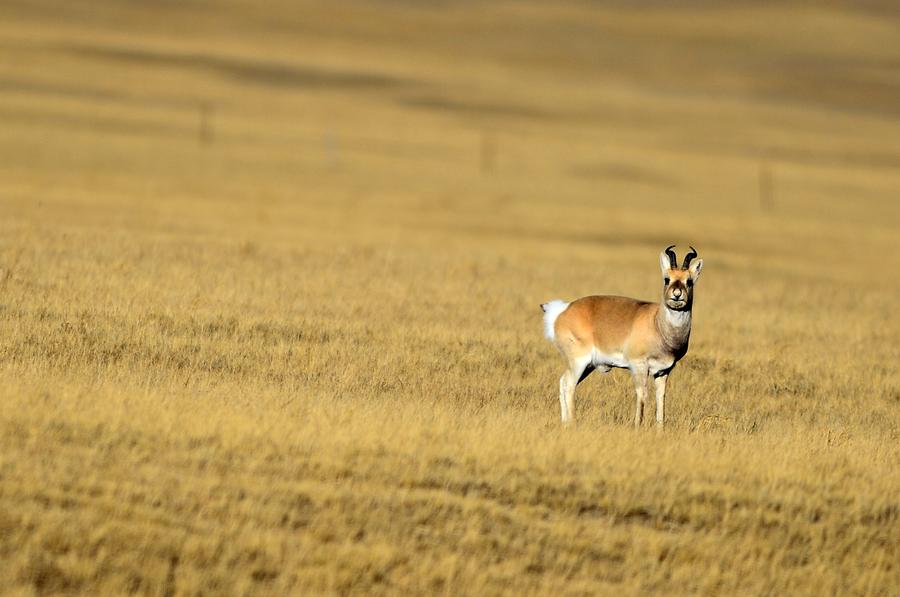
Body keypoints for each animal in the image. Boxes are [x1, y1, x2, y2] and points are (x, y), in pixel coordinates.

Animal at [540, 244, 704, 426]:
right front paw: (638, 426)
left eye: (689, 281)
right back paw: (573, 423)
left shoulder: (663, 371)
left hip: (587, 366)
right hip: (579, 362)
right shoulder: (639, 367)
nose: (676, 294)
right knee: (569, 385)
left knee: (563, 382)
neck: (657, 323)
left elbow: (661, 398)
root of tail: (563, 309)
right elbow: (642, 395)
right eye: (667, 279)